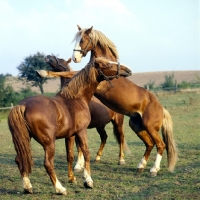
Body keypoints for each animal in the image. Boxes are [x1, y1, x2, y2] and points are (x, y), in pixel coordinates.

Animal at [7, 56, 132, 195]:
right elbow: (86, 152)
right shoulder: (81, 132)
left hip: (25, 140)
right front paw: (88, 180)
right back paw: (59, 188)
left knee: (20, 160)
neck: (75, 99)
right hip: (49, 143)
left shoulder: (70, 135)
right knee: (48, 163)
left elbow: (70, 156)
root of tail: (23, 105)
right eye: (107, 65)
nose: (128, 70)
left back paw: (27, 187)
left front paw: (72, 178)